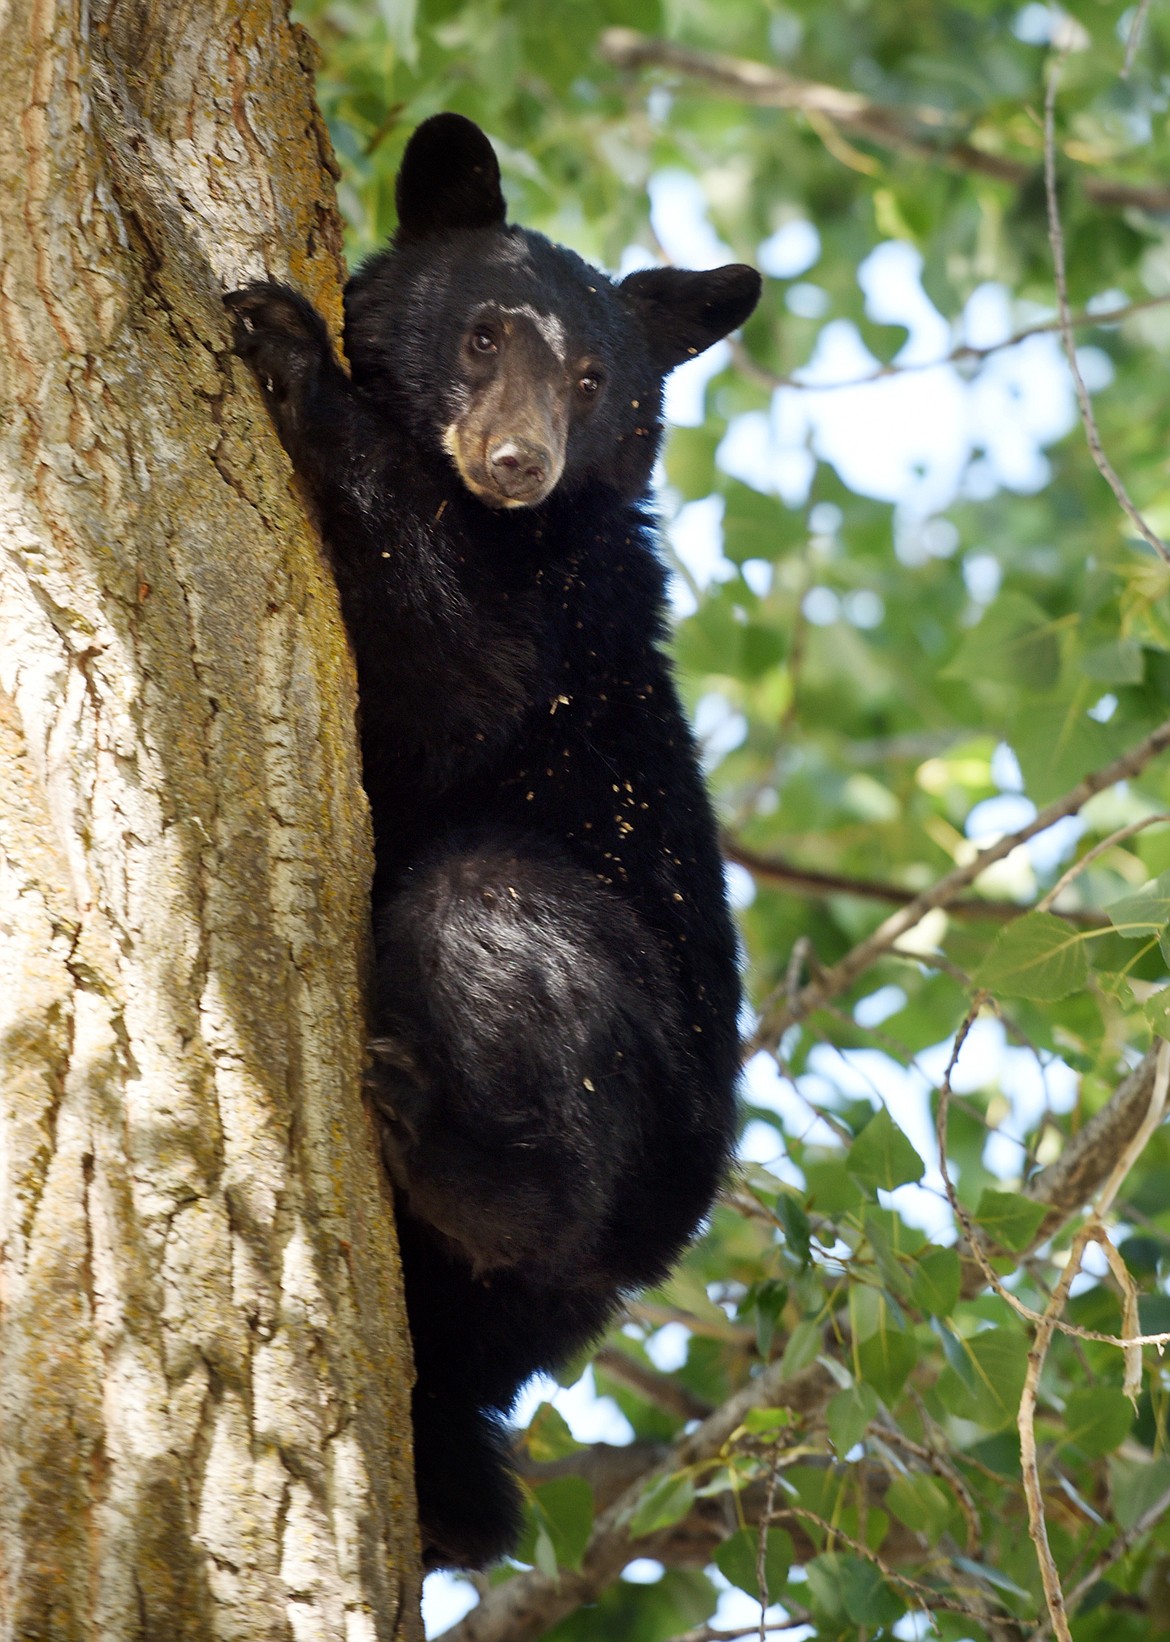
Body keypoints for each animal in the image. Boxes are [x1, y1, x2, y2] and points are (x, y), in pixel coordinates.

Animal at [224, 109, 761, 1569]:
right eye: (480, 335)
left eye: (591, 378)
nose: (516, 461)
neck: (515, 527)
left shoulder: (557, 617)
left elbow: (453, 681)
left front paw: (293, 351)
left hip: (636, 1105)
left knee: (486, 904)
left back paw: (451, 1145)